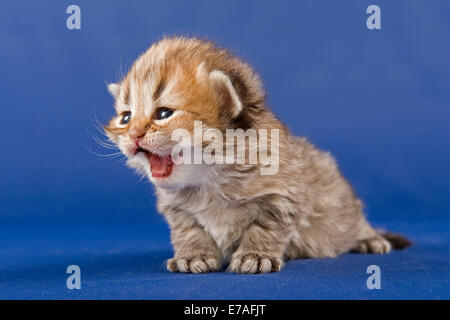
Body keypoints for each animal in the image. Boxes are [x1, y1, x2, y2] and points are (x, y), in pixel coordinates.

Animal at [105, 37, 412, 272]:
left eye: (164, 113)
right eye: (125, 118)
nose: (133, 135)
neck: (209, 179)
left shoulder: (282, 195)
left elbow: (265, 227)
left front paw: (255, 255)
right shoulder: (178, 210)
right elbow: (189, 231)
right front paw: (193, 255)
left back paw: (368, 239)